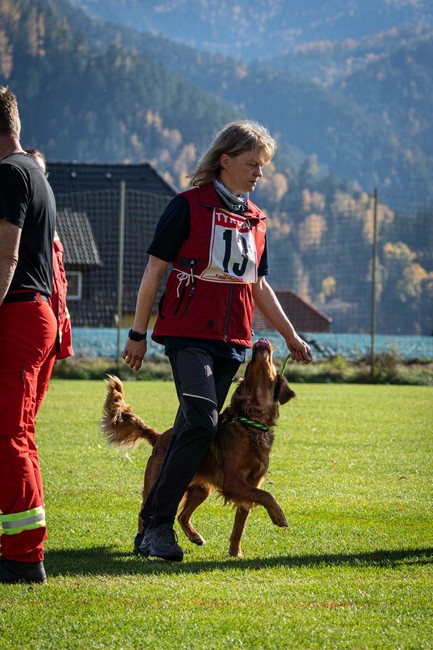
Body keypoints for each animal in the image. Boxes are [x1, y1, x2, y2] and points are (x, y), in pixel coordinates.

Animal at [101, 338, 296, 558]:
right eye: (251, 365)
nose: (260, 342)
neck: (251, 424)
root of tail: (159, 437)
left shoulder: (252, 482)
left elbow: (241, 521)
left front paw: (235, 552)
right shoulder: (233, 481)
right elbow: (266, 495)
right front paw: (279, 516)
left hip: (201, 489)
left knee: (182, 516)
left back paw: (194, 536)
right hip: (159, 484)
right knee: (144, 514)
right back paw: (143, 543)